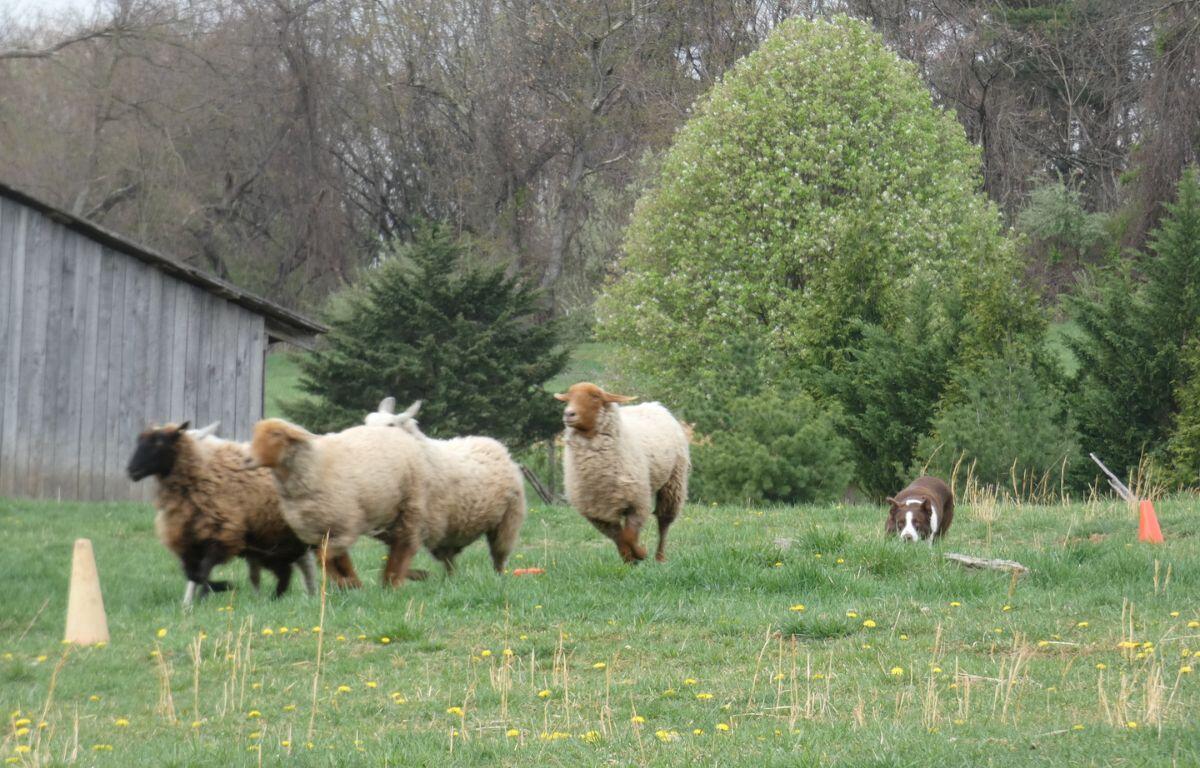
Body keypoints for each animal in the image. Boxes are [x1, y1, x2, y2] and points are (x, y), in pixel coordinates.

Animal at [126, 422, 317, 606]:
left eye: (159, 442)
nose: (131, 471)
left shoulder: (222, 534)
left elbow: (201, 573)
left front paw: (221, 587)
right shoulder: (189, 541)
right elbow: (193, 574)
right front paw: (193, 601)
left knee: (302, 567)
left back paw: (308, 595)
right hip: (273, 540)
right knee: (284, 570)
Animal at [245, 418, 429, 588]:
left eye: (276, 434)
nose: (247, 459)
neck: (314, 466)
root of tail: (398, 432)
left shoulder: (344, 528)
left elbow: (325, 557)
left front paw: (346, 582)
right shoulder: (319, 532)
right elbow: (334, 559)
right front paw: (351, 583)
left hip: (411, 505)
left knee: (404, 544)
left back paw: (393, 582)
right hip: (386, 514)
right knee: (395, 543)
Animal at [364, 398, 525, 574]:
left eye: (391, 425)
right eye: (367, 421)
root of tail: (497, 446)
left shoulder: (431, 521)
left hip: (507, 520)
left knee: (499, 557)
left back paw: (498, 576)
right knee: (451, 558)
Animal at [555, 382, 690, 563]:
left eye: (595, 397)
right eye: (568, 397)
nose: (569, 414)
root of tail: (655, 405)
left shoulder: (637, 502)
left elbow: (629, 536)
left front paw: (640, 554)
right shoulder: (599, 514)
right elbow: (620, 539)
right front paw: (630, 560)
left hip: (674, 482)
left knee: (664, 522)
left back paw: (660, 557)